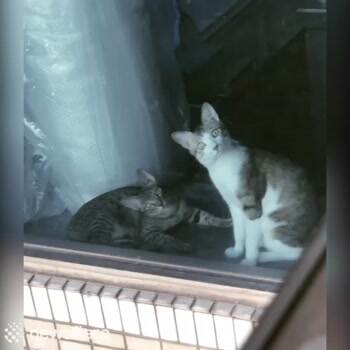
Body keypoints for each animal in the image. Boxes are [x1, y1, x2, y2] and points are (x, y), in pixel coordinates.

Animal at [68, 168, 232, 253]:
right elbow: (166, 239)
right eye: (150, 205)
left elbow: (208, 217)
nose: (161, 203)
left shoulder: (190, 213)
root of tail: (70, 226)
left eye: (158, 194)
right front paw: (182, 245)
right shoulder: (148, 232)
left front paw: (226, 222)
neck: (170, 215)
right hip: (103, 218)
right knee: (98, 241)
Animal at [172, 102, 320, 266]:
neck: (221, 165)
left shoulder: (253, 206)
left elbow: (250, 239)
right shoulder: (234, 206)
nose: (215, 146)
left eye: (215, 133)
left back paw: (262, 256)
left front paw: (249, 261)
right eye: (201, 146)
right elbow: (238, 232)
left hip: (272, 225)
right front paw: (237, 251)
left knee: (297, 253)